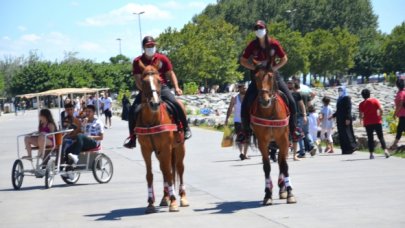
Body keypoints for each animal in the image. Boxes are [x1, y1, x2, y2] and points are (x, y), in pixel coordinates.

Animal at [134, 64, 188, 214]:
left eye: (159, 80)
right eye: (144, 81)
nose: (154, 103)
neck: (152, 120)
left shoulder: (166, 148)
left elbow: (169, 173)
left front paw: (174, 202)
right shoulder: (145, 150)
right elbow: (150, 175)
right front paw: (150, 203)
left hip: (179, 147)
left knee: (179, 168)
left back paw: (182, 197)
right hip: (160, 152)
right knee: (164, 169)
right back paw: (165, 197)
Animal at [251, 67, 296, 205]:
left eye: (271, 77)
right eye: (255, 77)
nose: (265, 100)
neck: (269, 113)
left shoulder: (284, 140)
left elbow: (284, 165)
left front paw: (290, 193)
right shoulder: (262, 142)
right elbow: (267, 166)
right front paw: (267, 194)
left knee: (282, 161)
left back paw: (283, 188)